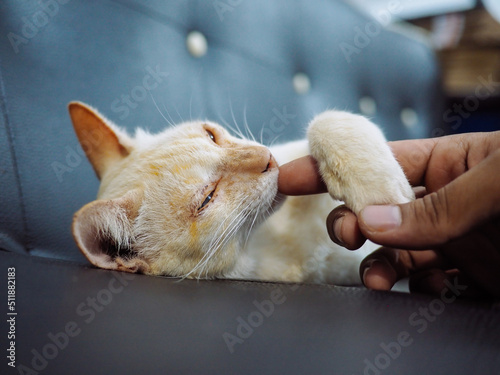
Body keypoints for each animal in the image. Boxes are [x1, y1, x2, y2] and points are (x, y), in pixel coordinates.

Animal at [70, 101, 414, 286]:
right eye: (207, 198)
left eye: (211, 134)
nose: (268, 159)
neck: (269, 241)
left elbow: (323, 121)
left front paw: (378, 187)